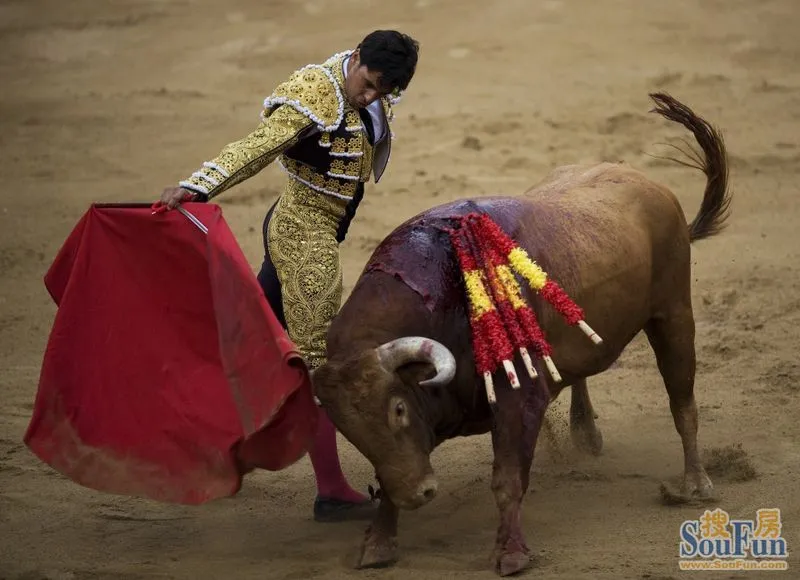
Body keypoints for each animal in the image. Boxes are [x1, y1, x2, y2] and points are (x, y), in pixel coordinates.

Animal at [310, 93, 732, 572]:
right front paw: (378, 543)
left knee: (682, 400)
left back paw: (694, 484)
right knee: (583, 370)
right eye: (347, 428)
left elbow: (508, 478)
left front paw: (510, 553)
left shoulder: (519, 399)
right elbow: (387, 481)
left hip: (674, 313)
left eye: (398, 409)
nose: (420, 494)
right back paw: (587, 435)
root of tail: (649, 184)